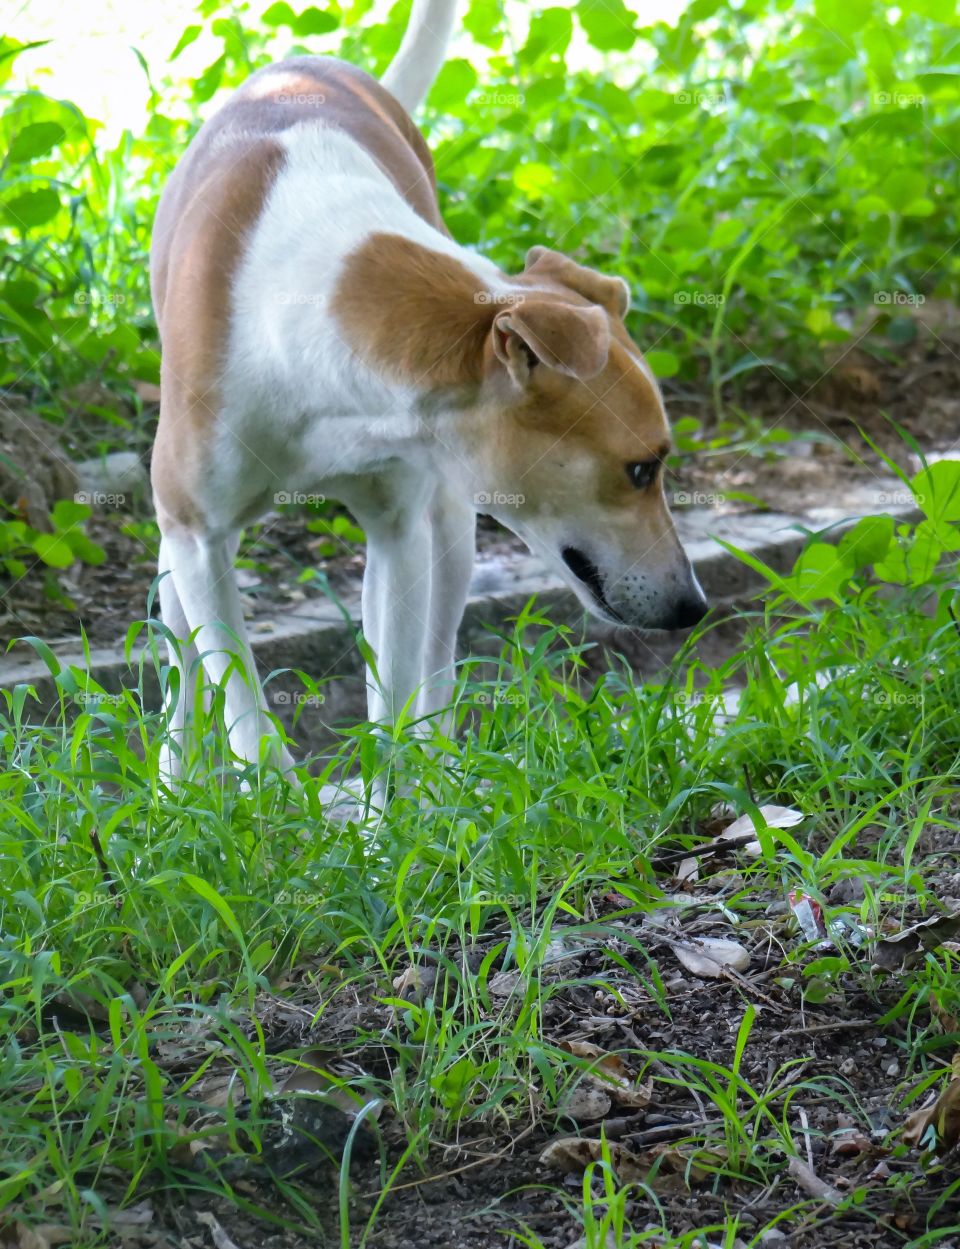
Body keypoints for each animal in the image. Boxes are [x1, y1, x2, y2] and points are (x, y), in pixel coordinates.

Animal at [149, 0, 704, 779]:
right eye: (640, 469)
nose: (694, 607)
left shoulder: (400, 528)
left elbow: (395, 704)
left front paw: (397, 805)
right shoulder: (197, 533)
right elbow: (245, 710)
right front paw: (273, 804)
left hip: (450, 524)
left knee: (435, 655)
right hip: (179, 541)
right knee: (182, 649)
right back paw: (179, 778)